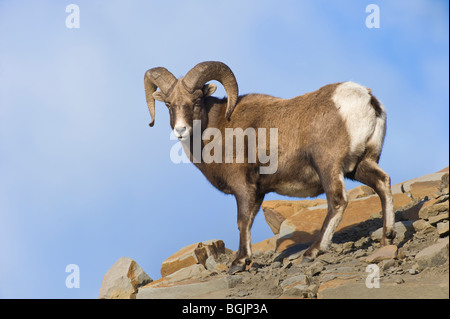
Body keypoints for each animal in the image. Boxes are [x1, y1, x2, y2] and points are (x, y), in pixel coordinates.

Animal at [144, 61, 394, 274]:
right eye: (168, 104)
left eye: (196, 101)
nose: (181, 130)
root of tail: (366, 99)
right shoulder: (259, 192)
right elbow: (250, 221)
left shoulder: (243, 188)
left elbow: (243, 221)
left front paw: (239, 263)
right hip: (360, 165)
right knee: (382, 183)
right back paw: (387, 238)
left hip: (329, 167)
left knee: (338, 201)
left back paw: (311, 253)